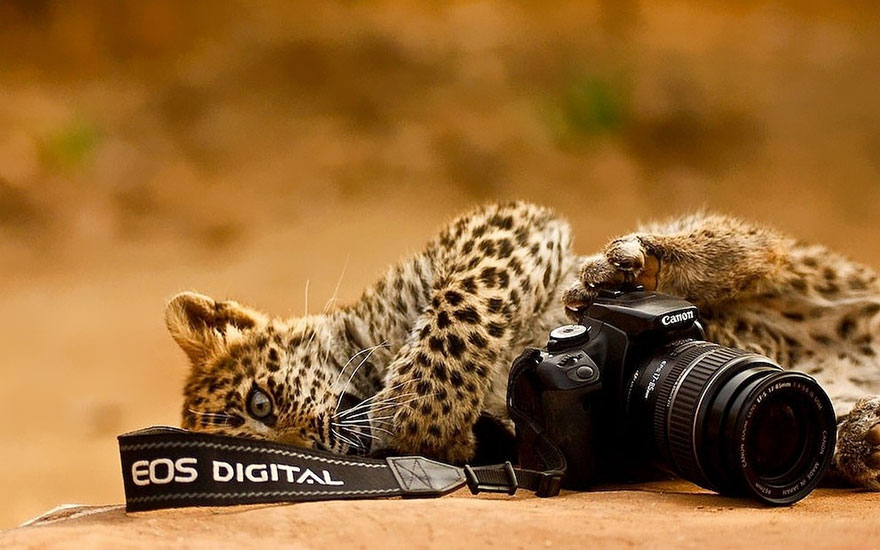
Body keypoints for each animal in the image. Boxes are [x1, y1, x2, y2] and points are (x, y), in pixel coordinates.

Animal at [166, 201, 880, 491]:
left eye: (260, 405)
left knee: (749, 247)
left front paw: (416, 417)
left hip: (797, 270)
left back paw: (633, 263)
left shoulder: (502, 228)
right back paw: (863, 437)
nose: (314, 444)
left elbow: (459, 308)